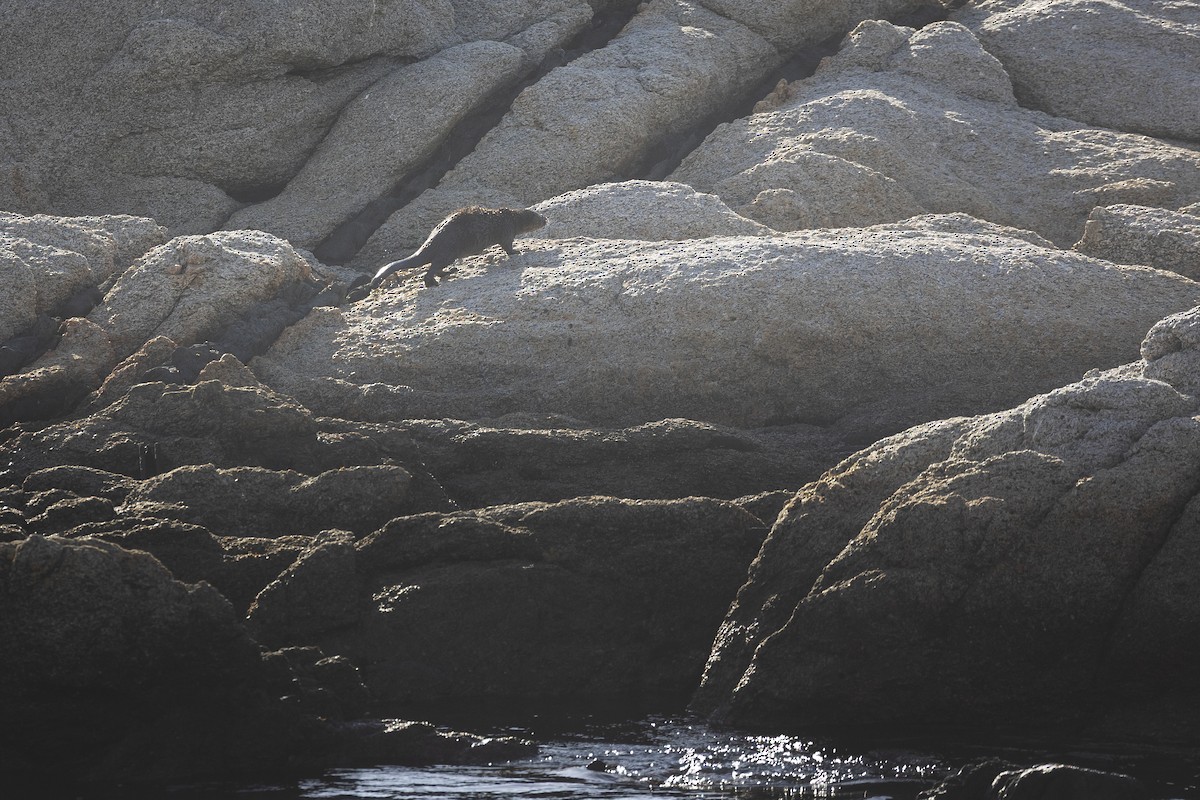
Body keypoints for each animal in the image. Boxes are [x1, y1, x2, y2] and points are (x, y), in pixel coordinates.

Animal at [359, 206, 546, 295]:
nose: (546, 219)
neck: (511, 218)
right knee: (431, 269)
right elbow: (507, 246)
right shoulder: (507, 231)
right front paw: (517, 251)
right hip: (449, 251)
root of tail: (431, 241)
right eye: (540, 217)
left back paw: (450, 272)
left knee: (436, 267)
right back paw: (433, 283)